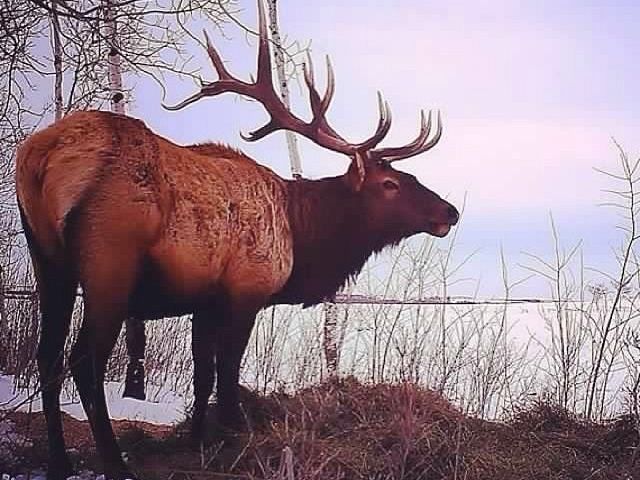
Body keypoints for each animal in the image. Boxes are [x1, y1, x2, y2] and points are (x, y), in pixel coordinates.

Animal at [15, 2, 459, 479]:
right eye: (390, 184)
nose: (449, 211)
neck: (301, 239)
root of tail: (43, 154)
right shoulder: (246, 290)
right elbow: (228, 373)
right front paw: (235, 437)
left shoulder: (202, 301)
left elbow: (202, 374)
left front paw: (197, 441)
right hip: (109, 260)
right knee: (84, 361)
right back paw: (116, 464)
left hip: (46, 258)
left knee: (46, 354)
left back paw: (59, 462)